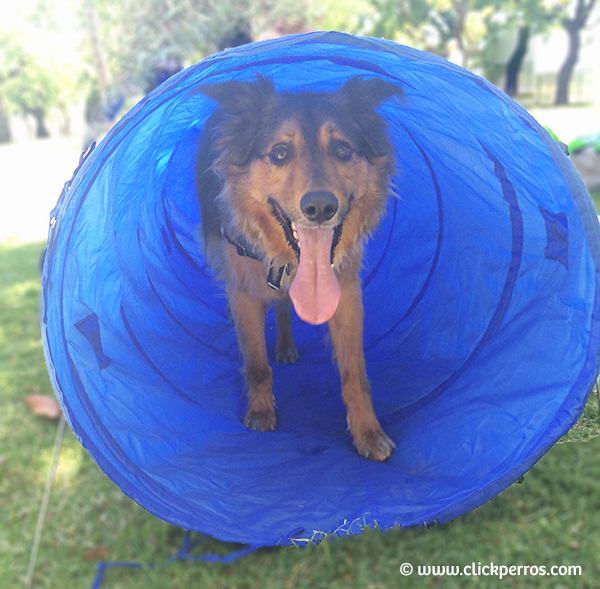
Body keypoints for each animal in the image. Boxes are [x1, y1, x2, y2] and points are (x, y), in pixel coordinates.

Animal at [197, 74, 404, 460]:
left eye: (342, 150)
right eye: (280, 153)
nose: (320, 207)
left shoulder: (347, 295)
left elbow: (355, 372)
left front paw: (368, 432)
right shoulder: (245, 291)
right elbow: (256, 363)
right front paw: (260, 412)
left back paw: (286, 345)